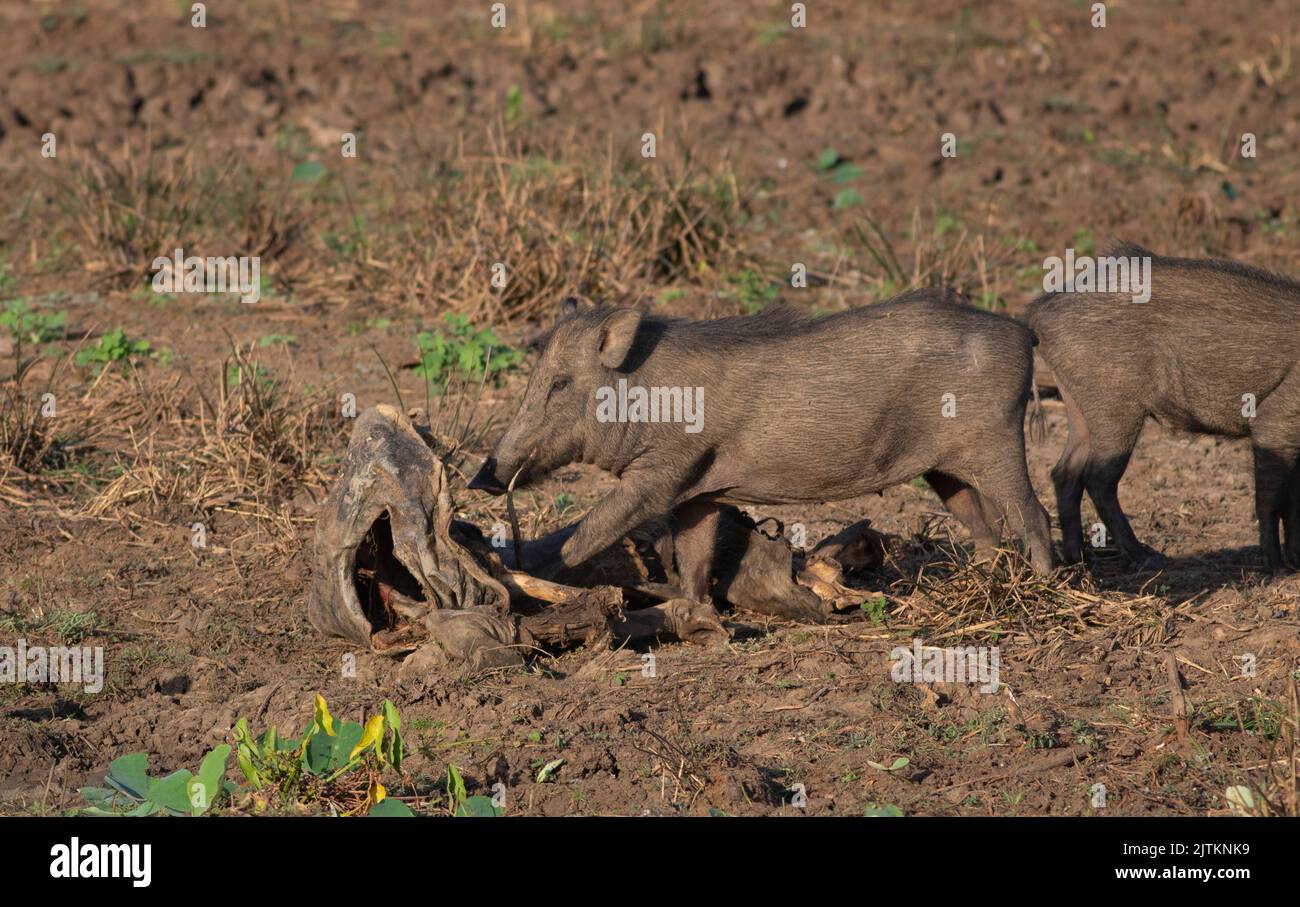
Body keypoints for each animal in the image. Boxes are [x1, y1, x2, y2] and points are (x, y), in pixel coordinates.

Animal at [470, 290, 1055, 603]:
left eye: (560, 383)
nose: (483, 476)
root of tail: (1022, 331)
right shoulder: (698, 494)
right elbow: (695, 557)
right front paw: (689, 608)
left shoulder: (660, 478)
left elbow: (583, 538)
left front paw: (536, 585)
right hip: (944, 469)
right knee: (984, 524)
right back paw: (984, 580)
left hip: (998, 442)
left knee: (1032, 514)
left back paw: (1047, 586)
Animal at [1027, 242, 1300, 570]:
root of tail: (1038, 313)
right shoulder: (1275, 422)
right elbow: (1272, 499)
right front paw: (1277, 568)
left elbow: (1293, 503)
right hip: (1115, 409)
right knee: (1097, 478)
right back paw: (1148, 557)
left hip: (1080, 409)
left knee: (1064, 472)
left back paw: (1077, 560)